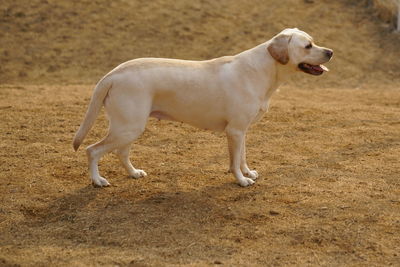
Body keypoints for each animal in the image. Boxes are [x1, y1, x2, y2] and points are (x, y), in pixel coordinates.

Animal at [73, 28, 332, 188]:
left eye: (313, 42)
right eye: (308, 46)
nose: (330, 52)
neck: (263, 70)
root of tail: (114, 73)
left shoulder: (242, 131)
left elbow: (242, 156)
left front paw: (248, 172)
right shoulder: (234, 131)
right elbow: (234, 161)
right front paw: (241, 180)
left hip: (129, 127)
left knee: (121, 152)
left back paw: (134, 173)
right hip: (128, 127)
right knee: (92, 150)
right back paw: (98, 181)